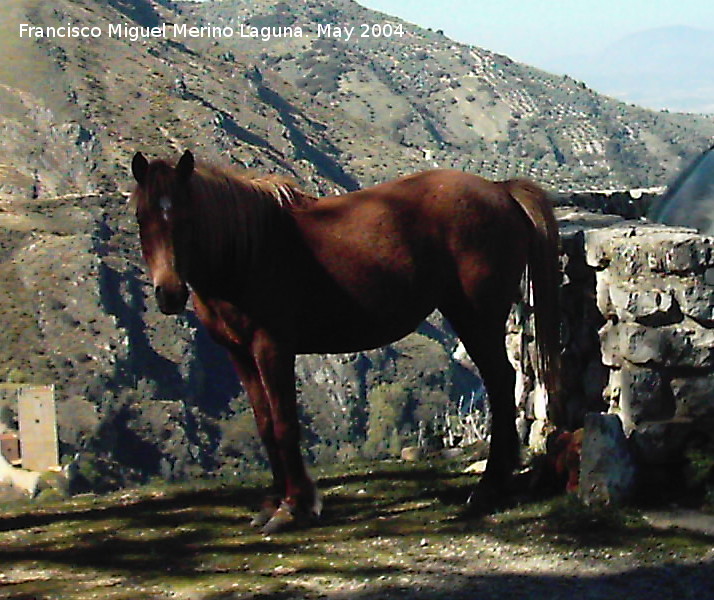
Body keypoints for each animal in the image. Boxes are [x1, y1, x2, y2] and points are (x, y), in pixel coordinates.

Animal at [131, 151, 560, 536]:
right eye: (141, 217)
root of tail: (499, 190)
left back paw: (489, 488)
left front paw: (294, 507)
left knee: (500, 384)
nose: (169, 294)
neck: (246, 253)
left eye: (187, 216)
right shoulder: (239, 354)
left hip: (476, 319)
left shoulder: (272, 349)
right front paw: (274, 503)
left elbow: (285, 424)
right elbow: (266, 424)